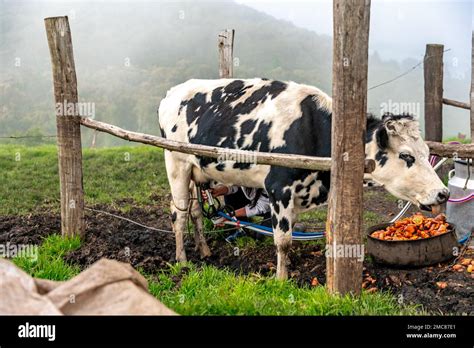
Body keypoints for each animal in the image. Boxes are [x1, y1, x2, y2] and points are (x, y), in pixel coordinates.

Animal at [158, 79, 448, 280]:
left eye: (427, 153)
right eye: (406, 155)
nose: (443, 193)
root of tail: (173, 91)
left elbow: (289, 233)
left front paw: (287, 266)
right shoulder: (278, 188)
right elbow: (283, 239)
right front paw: (281, 278)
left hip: (195, 170)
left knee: (195, 210)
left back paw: (205, 251)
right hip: (176, 163)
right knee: (179, 213)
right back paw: (182, 260)